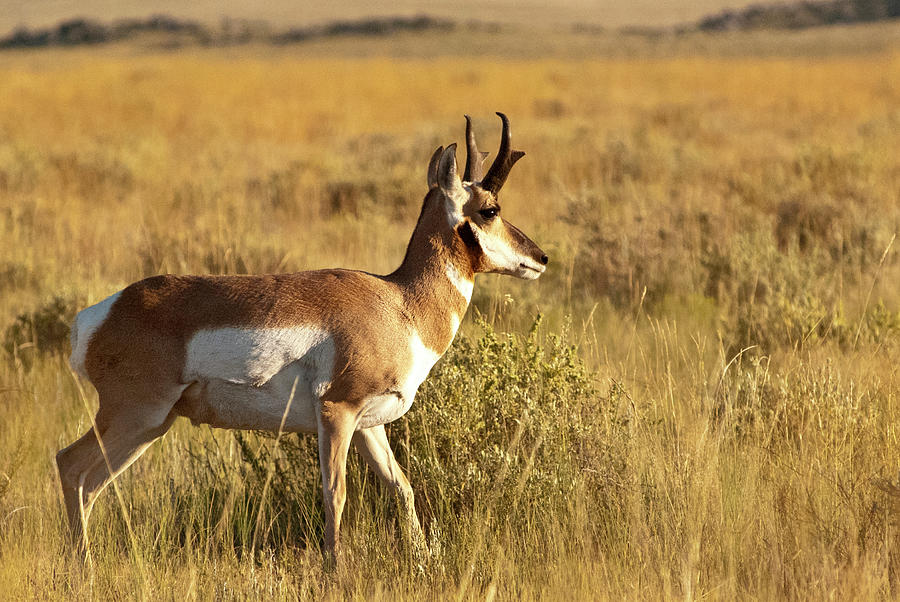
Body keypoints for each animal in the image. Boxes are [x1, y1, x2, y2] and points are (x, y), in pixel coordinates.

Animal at [59, 113, 548, 556]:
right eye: (490, 209)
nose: (541, 258)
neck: (399, 302)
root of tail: (101, 312)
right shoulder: (336, 412)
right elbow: (336, 494)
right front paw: (337, 569)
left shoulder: (370, 426)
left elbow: (402, 488)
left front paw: (424, 561)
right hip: (135, 416)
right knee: (70, 466)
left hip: (151, 427)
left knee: (89, 483)